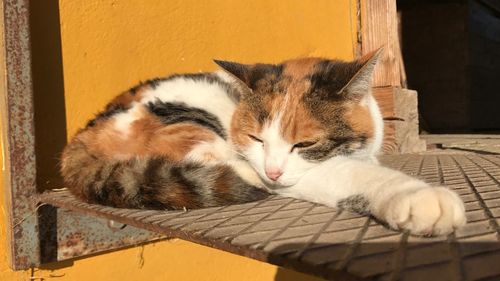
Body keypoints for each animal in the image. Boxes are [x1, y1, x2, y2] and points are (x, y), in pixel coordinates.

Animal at [60, 49, 466, 235]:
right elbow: (357, 175)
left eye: (304, 143)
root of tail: (81, 136)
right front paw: (419, 197)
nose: (271, 171)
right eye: (256, 137)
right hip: (191, 114)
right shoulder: (305, 173)